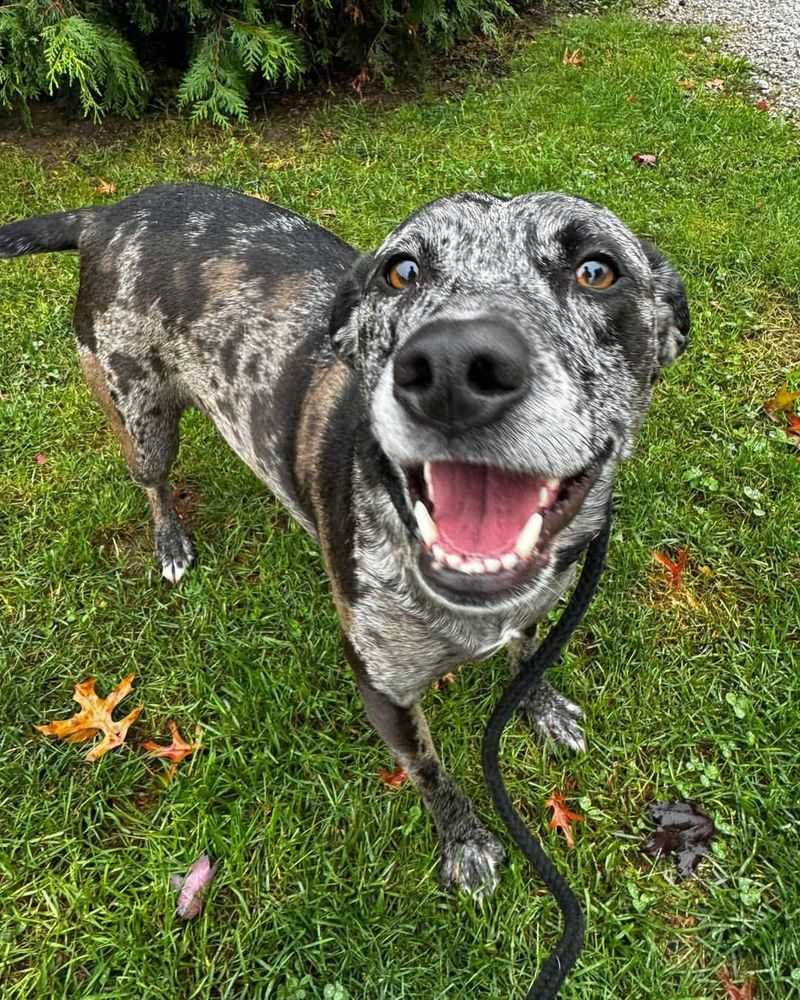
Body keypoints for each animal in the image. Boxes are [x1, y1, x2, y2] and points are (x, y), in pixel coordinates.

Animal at [0, 186, 688, 900]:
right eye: (401, 271)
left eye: (596, 270)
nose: (451, 367)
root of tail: (107, 214)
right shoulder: (384, 690)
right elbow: (429, 770)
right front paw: (465, 843)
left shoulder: (532, 608)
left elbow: (528, 652)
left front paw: (542, 707)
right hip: (140, 414)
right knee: (154, 482)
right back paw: (170, 542)